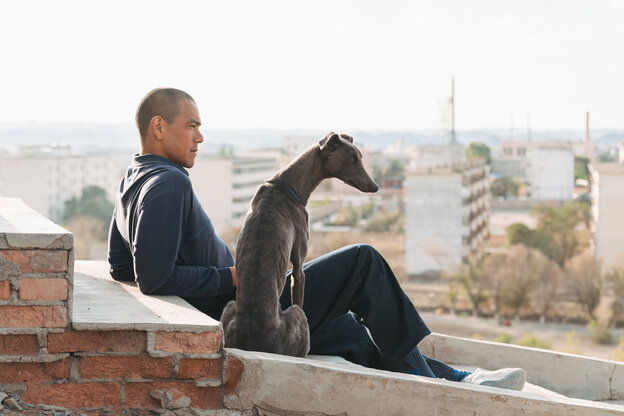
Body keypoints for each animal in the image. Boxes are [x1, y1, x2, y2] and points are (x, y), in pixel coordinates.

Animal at [219, 132, 378, 358]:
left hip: (230, 307)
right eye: (352, 159)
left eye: (361, 157)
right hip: (297, 315)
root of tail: (255, 342)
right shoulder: (298, 267)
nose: (375, 187)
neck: (287, 185)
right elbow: (299, 287)